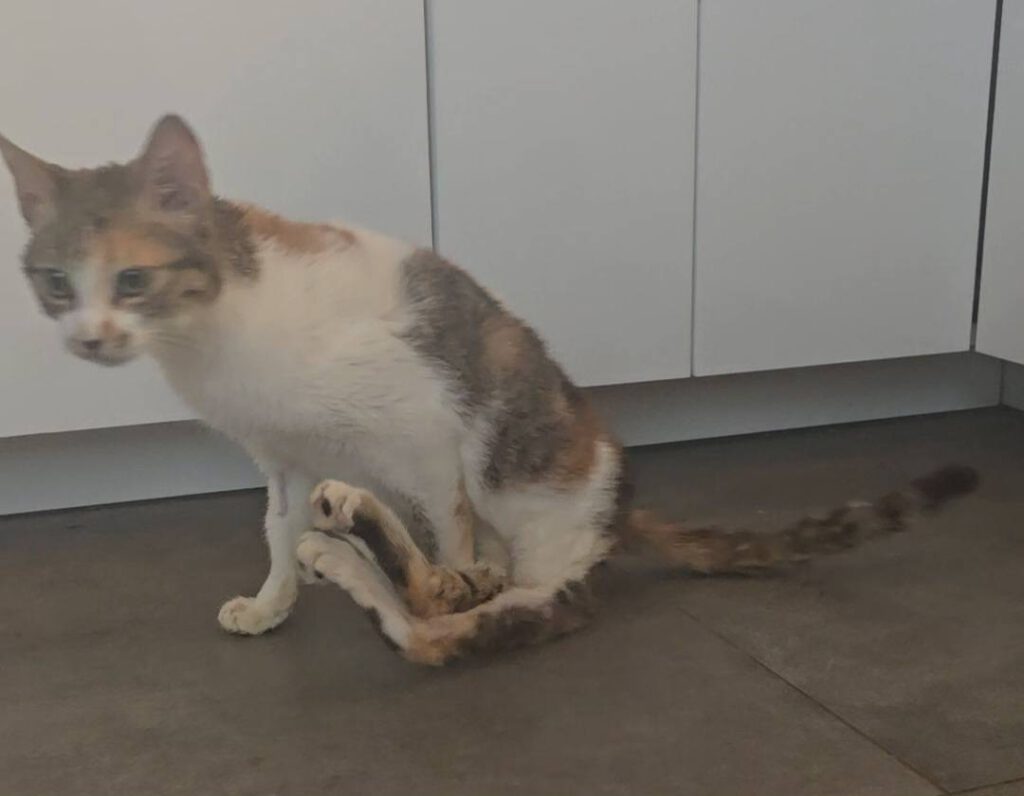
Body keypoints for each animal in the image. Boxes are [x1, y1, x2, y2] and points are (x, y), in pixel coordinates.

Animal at [0, 115, 979, 664]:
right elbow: (273, 525)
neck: (215, 333)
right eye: (53, 282)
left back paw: (364, 554)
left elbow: (443, 543)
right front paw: (273, 598)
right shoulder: (278, 453)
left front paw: (369, 565)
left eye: (132, 281)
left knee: (439, 620)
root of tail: (621, 497)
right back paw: (345, 542)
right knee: (432, 591)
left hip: (527, 520)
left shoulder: (425, 429)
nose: (88, 338)